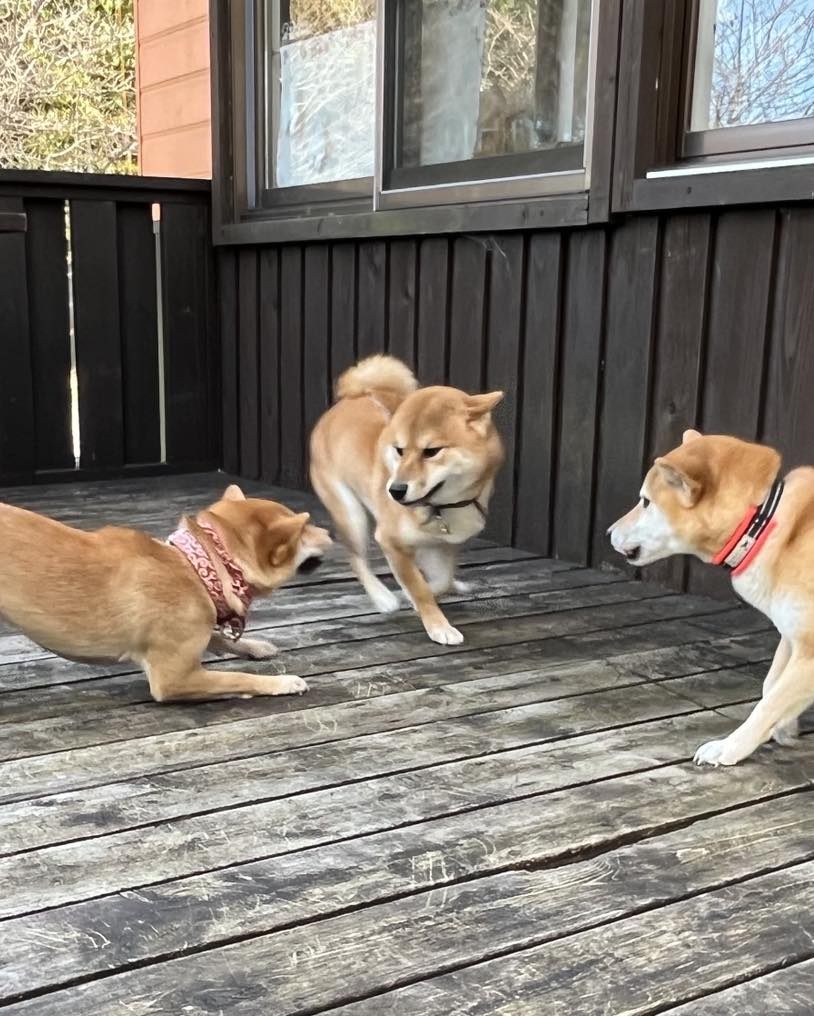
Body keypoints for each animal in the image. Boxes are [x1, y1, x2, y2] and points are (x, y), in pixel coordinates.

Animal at [0, 487, 333, 703]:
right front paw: (282, 682)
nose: (330, 533)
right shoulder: (175, 678)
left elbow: (218, 637)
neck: (199, 567)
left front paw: (254, 647)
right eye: (305, 529)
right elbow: (240, 677)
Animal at [308, 357, 502, 642]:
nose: (395, 490)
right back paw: (382, 597)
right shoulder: (390, 541)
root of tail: (345, 401)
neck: (440, 507)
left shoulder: (443, 545)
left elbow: (440, 581)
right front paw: (438, 625)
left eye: (431, 452)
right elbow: (418, 586)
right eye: (399, 450)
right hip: (351, 513)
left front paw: (426, 595)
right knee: (355, 557)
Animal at [605, 424, 808, 764]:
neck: (760, 524)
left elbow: (768, 703)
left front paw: (729, 748)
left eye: (645, 501)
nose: (607, 532)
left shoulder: (808, 647)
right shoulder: (792, 633)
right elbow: (771, 687)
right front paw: (785, 727)